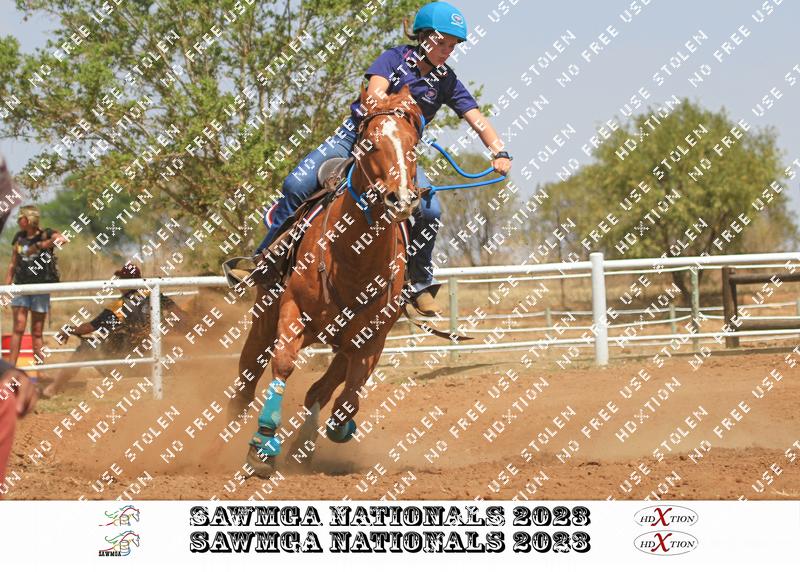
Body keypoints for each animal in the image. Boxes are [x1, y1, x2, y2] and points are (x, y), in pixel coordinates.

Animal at [231, 85, 426, 477]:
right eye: (370, 143)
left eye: (413, 143)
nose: (401, 199)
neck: (352, 259)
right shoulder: (291, 312)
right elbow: (283, 365)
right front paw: (262, 443)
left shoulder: (371, 339)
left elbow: (348, 395)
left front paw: (333, 429)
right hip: (265, 317)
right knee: (247, 375)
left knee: (320, 390)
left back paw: (304, 444)